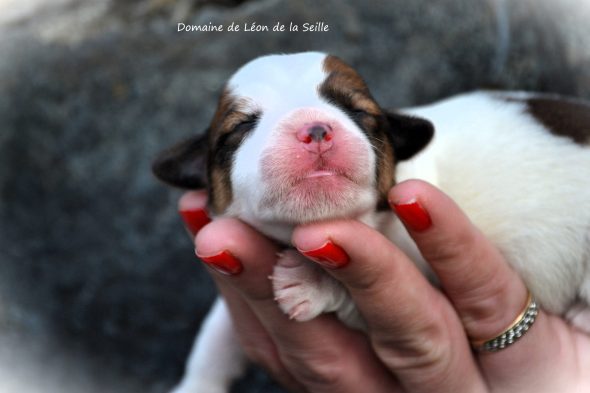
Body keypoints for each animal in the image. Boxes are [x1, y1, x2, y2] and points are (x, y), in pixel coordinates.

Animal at [151, 52, 590, 392]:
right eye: (242, 125)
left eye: (359, 112)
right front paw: (198, 383)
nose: (316, 129)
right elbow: (216, 334)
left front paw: (311, 281)